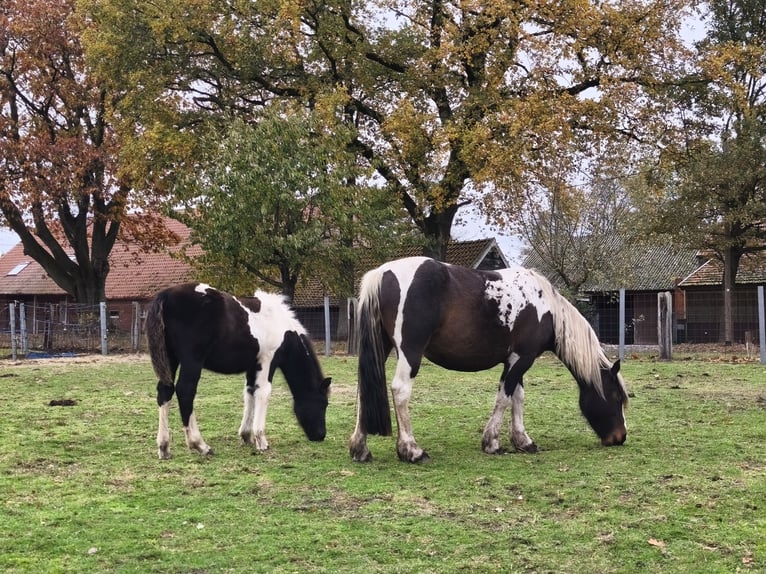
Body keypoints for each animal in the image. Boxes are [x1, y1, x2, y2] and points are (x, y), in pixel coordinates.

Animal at [146, 283, 331, 459]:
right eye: (323, 403)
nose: (321, 435)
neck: (282, 328)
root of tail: (167, 295)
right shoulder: (267, 360)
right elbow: (263, 392)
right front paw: (261, 440)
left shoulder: (253, 365)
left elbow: (250, 392)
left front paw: (246, 435)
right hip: (192, 361)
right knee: (185, 391)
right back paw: (200, 445)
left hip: (170, 358)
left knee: (165, 391)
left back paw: (164, 447)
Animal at [348, 256, 628, 463]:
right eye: (616, 397)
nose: (620, 437)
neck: (544, 307)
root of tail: (382, 273)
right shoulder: (522, 358)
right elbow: (504, 397)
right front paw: (492, 442)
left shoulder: (515, 360)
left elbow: (518, 397)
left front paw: (523, 441)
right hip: (410, 352)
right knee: (400, 390)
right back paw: (412, 450)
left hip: (381, 348)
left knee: (365, 389)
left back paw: (360, 449)